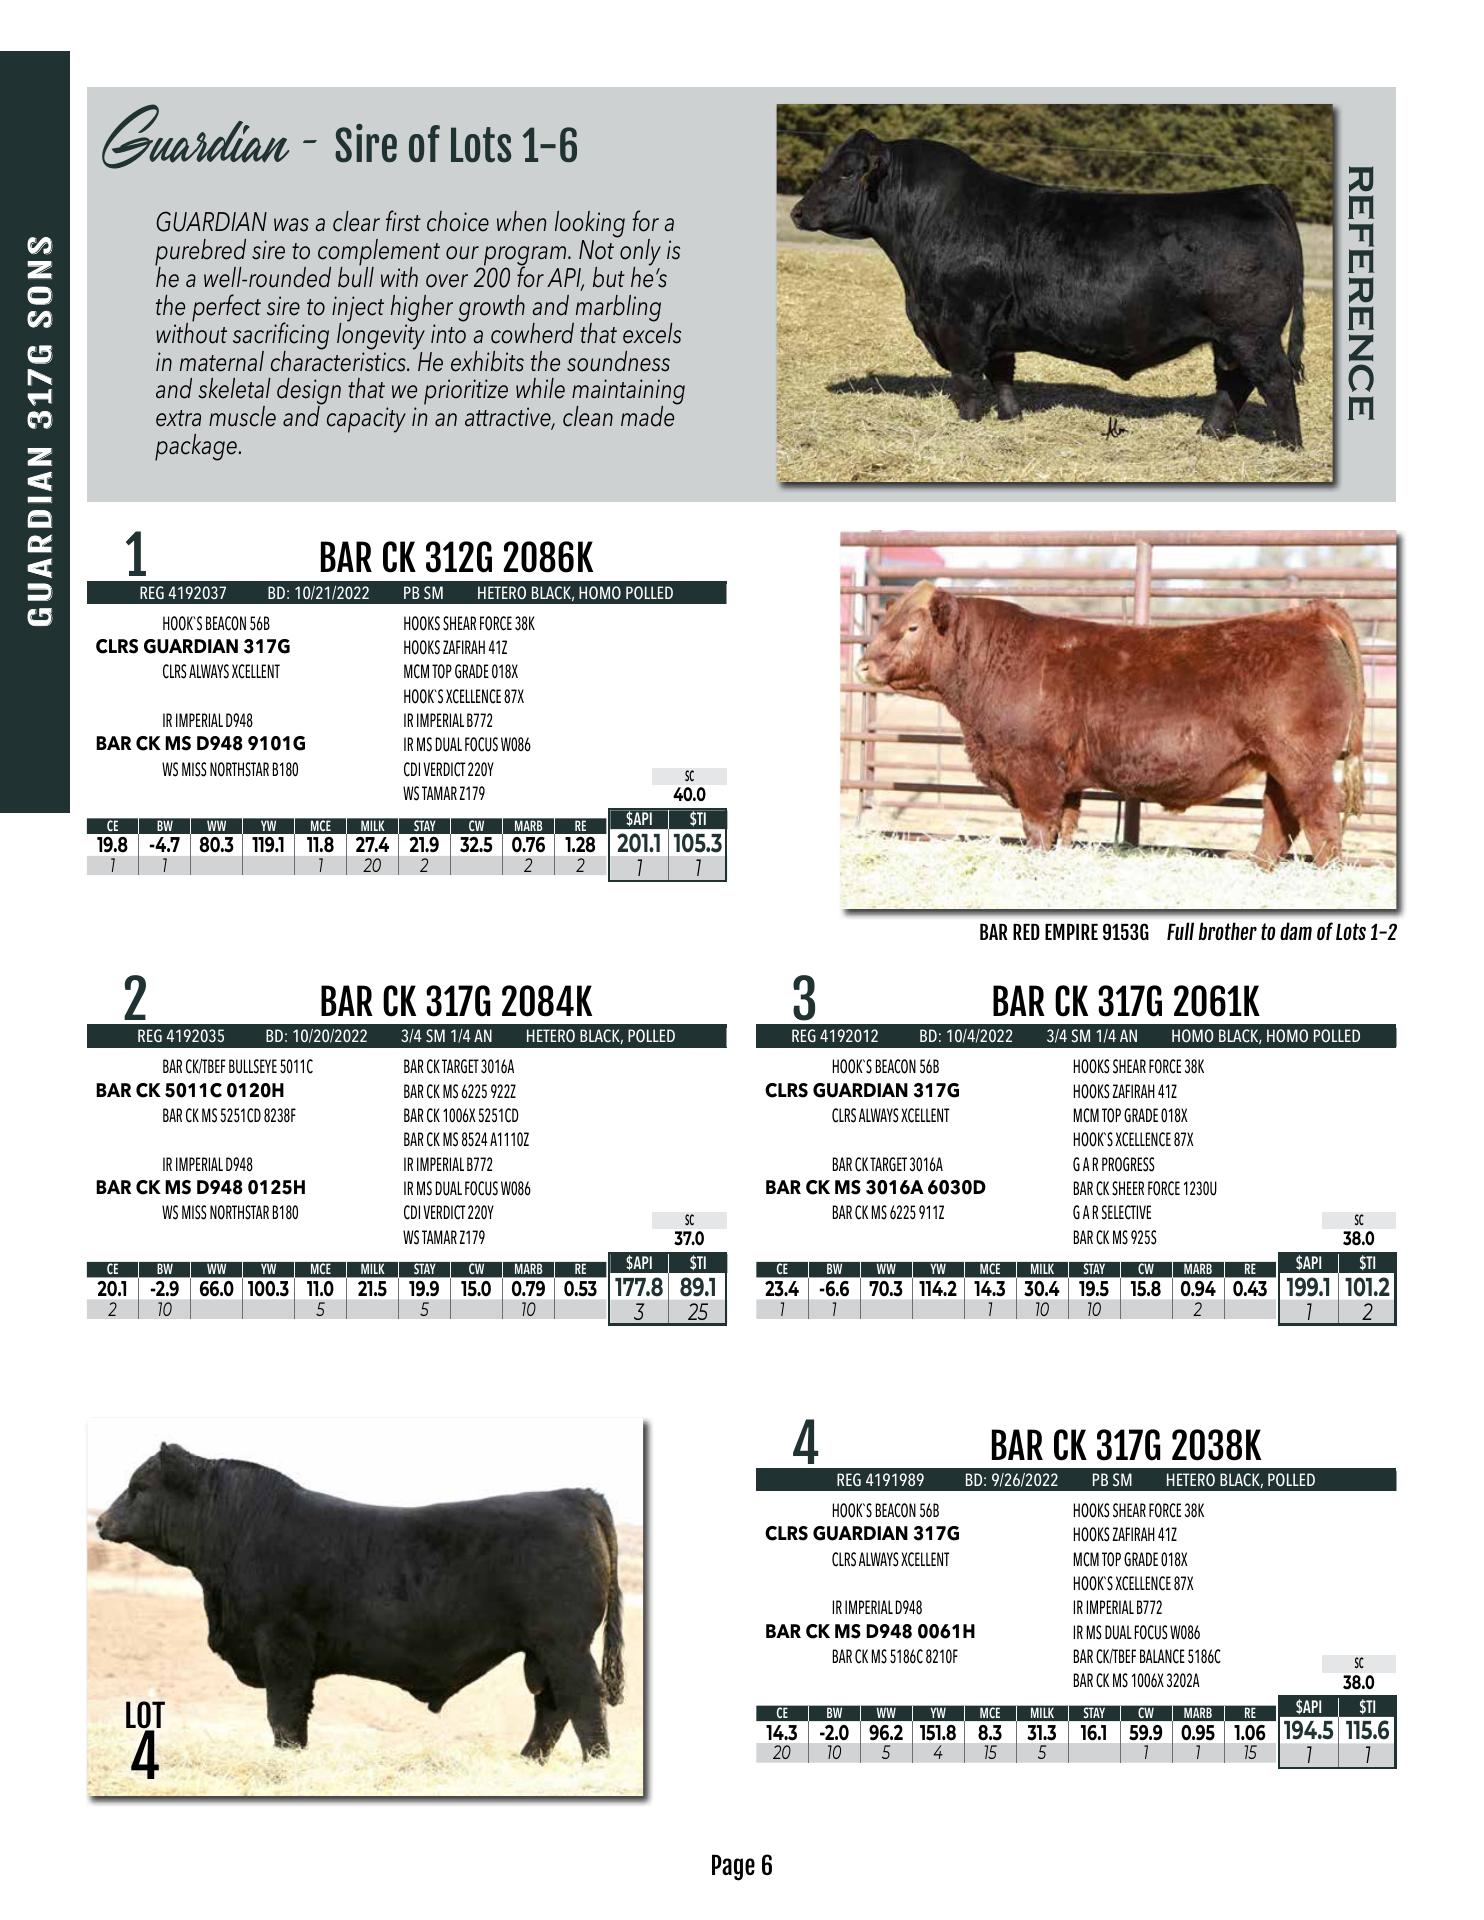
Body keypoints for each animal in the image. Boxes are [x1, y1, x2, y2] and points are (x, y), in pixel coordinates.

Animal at [96, 1443, 624, 1760]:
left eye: (139, 1487)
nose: (101, 1521)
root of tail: (574, 1494)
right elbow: (293, 1715)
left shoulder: (281, 1641)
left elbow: (283, 1712)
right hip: (544, 1649)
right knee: (552, 1705)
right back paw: (529, 1762)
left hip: (563, 1642)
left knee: (583, 1698)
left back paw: (594, 1764)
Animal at [791, 131, 1308, 447]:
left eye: (845, 173)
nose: (797, 212)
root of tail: (1257, 190)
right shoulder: (995, 329)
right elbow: (1002, 376)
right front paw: (1011, 419)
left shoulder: (960, 321)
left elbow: (966, 381)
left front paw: (969, 424)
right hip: (1230, 339)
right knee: (1233, 383)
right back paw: (1208, 434)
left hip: (1252, 333)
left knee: (1274, 381)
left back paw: (1287, 447)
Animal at [858, 585, 1365, 866]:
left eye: (912, 629)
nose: (862, 664)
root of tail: (1304, 614)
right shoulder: (1064, 778)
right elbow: (1064, 826)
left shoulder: (1033, 767)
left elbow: (1037, 827)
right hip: (1279, 762)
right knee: (1279, 816)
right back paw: (1258, 868)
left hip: (1304, 761)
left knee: (1319, 815)